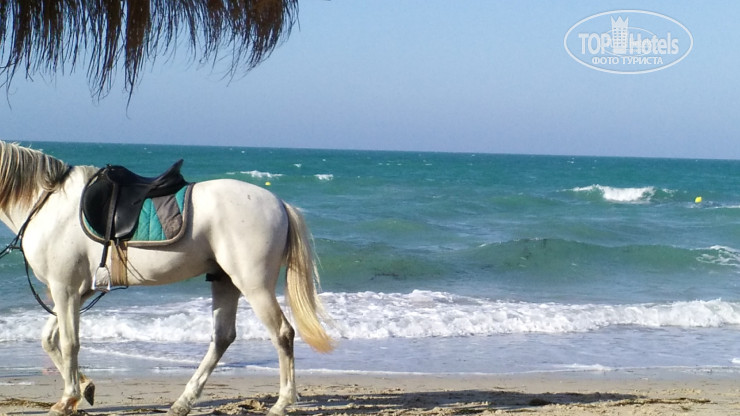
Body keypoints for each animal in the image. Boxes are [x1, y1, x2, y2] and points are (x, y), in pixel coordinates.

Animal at [0, 142, 334, 416]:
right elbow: (49, 339)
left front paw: (68, 398)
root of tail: (279, 203)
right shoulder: (77, 291)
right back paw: (183, 402)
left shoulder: (64, 287)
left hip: (253, 284)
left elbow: (69, 342)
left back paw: (282, 403)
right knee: (222, 337)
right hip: (225, 281)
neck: (48, 204)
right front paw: (85, 387)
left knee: (282, 333)